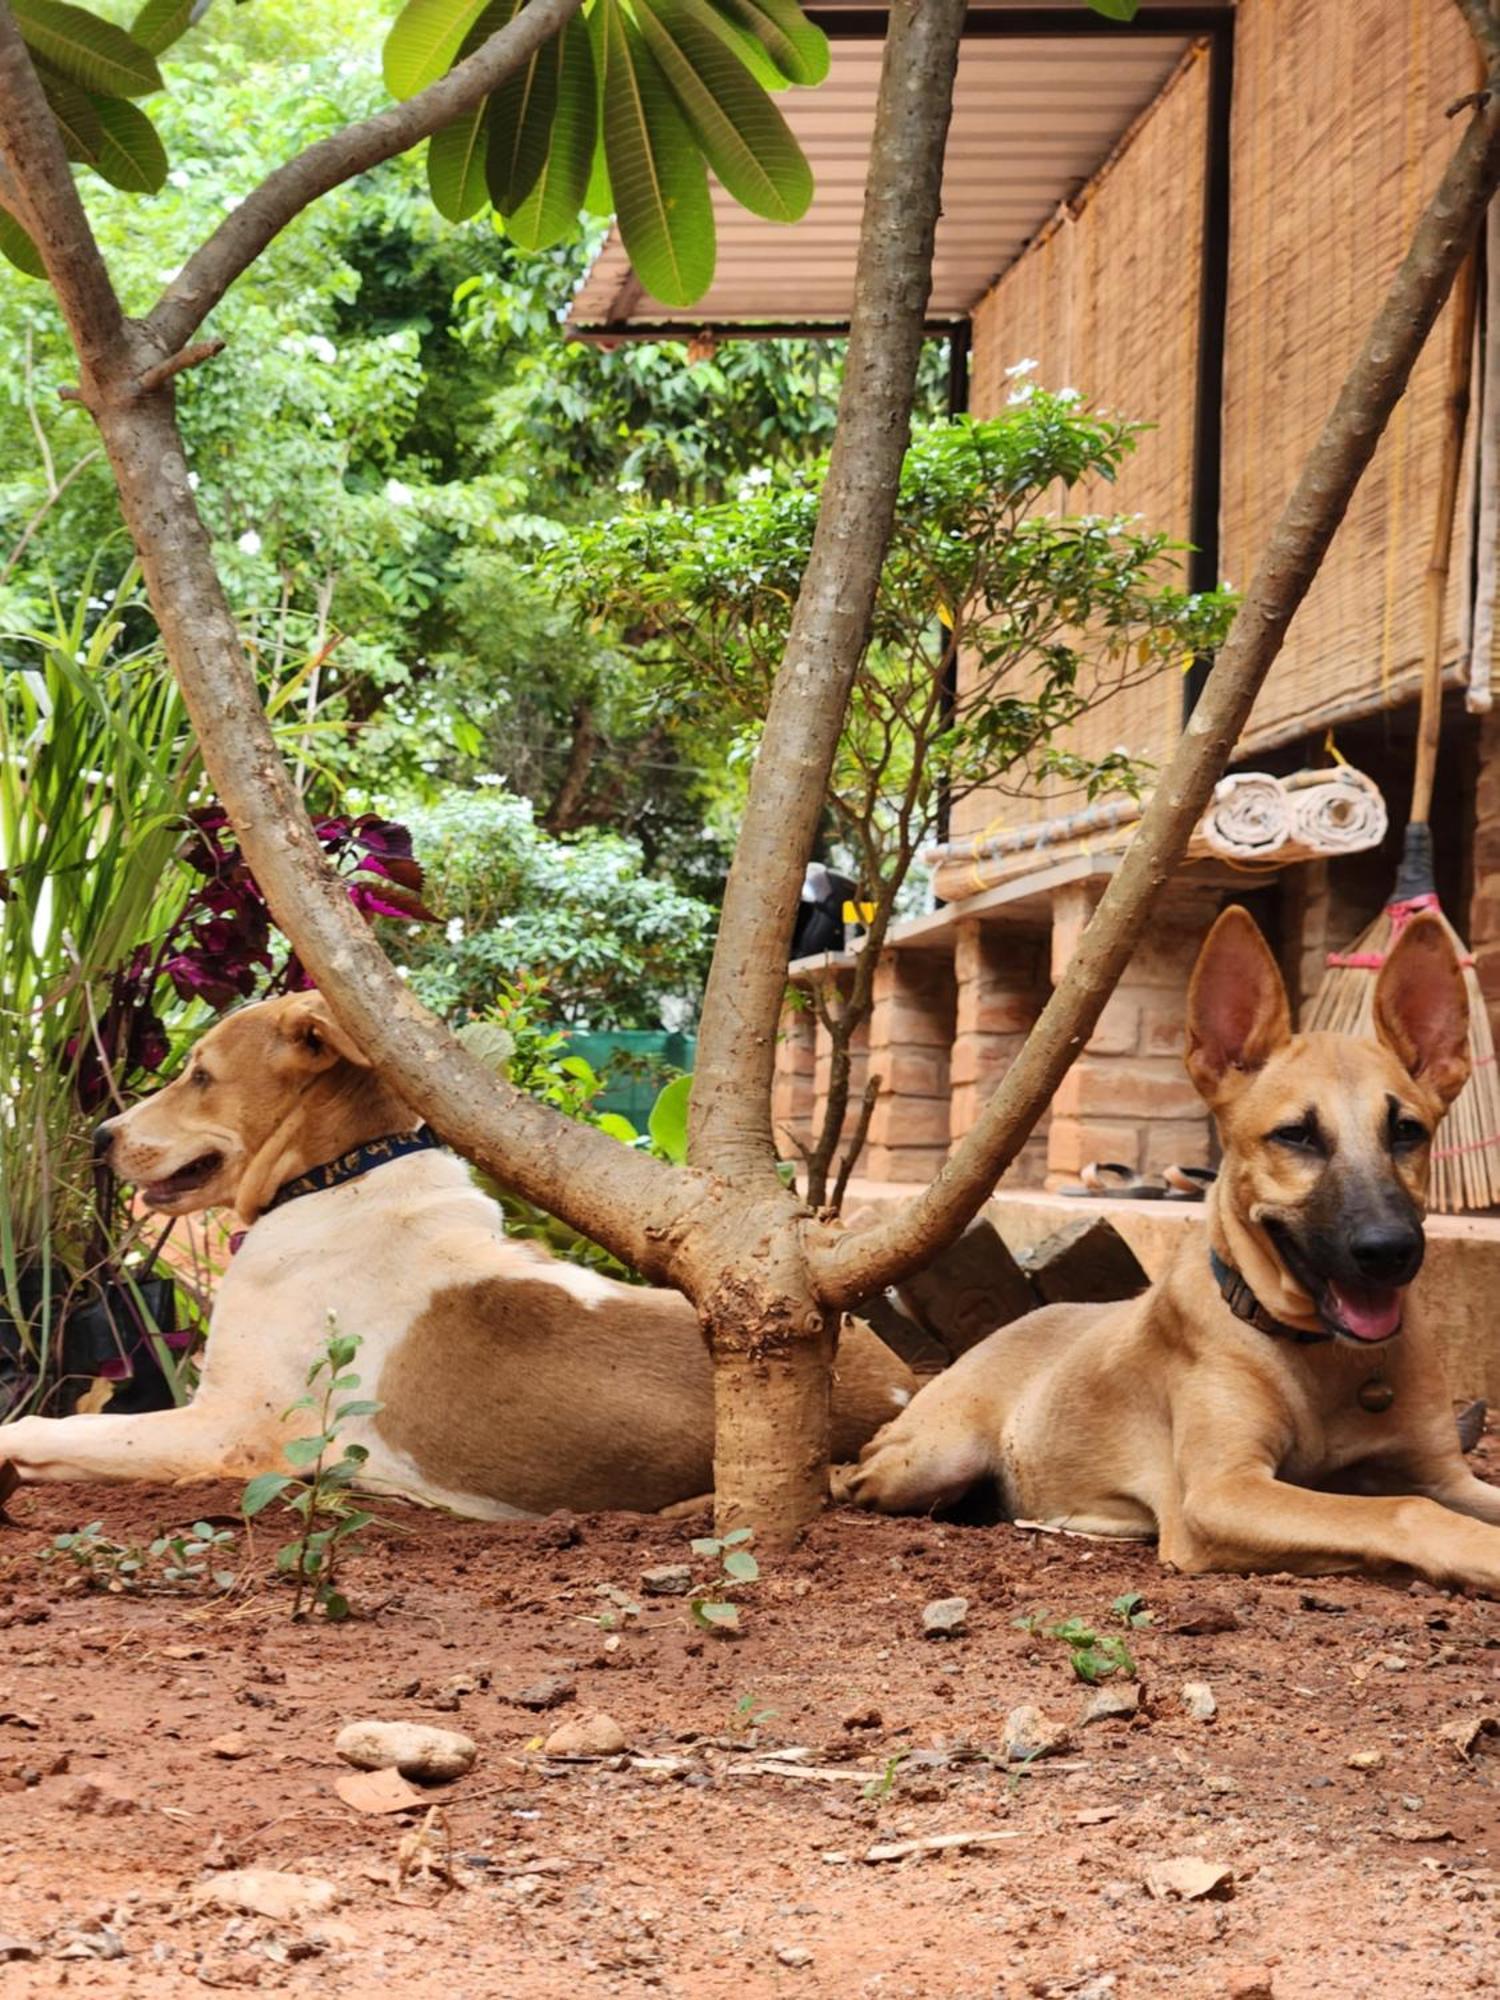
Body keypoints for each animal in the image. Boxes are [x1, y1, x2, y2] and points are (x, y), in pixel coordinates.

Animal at [0, 1000, 916, 1512]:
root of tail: (909, 1385)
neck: (340, 1176)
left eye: (199, 1074)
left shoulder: (225, 1429)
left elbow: (46, 1427)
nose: (101, 1135)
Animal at [852, 908, 1500, 1592]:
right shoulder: (1222, 1493)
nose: (1389, 1250)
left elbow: (1418, 1494)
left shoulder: (1446, 1475)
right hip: (933, 1456)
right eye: (1295, 1136)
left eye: (1407, 1132)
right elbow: (1404, 1508)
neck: (1324, 1356)